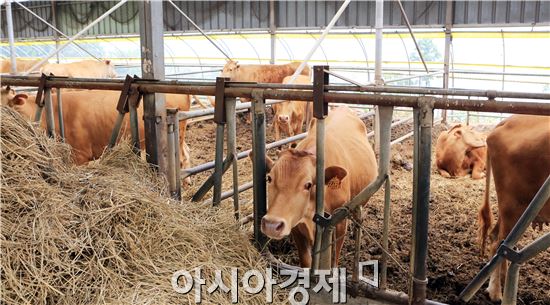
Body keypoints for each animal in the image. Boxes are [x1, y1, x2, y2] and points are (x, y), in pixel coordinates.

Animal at [260, 106, 380, 266]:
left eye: (308, 184)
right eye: (269, 178)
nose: (272, 225)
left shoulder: (338, 222)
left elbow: (334, 257)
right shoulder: (296, 225)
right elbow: (306, 261)